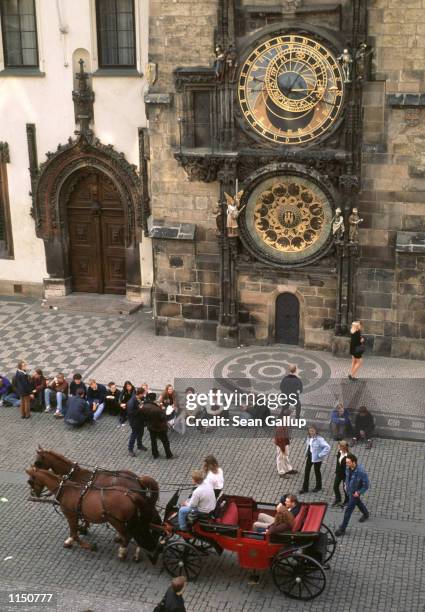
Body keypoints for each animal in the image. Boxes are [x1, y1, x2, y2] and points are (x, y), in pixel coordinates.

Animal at [26, 466, 158, 560]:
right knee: (137, 532)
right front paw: (79, 535)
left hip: (117, 521)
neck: (66, 489)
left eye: (30, 481)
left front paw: (87, 546)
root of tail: (130, 494)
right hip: (130, 520)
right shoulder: (77, 515)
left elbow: (74, 533)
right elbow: (76, 530)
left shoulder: (70, 515)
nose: (33, 493)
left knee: (128, 535)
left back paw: (122, 552)